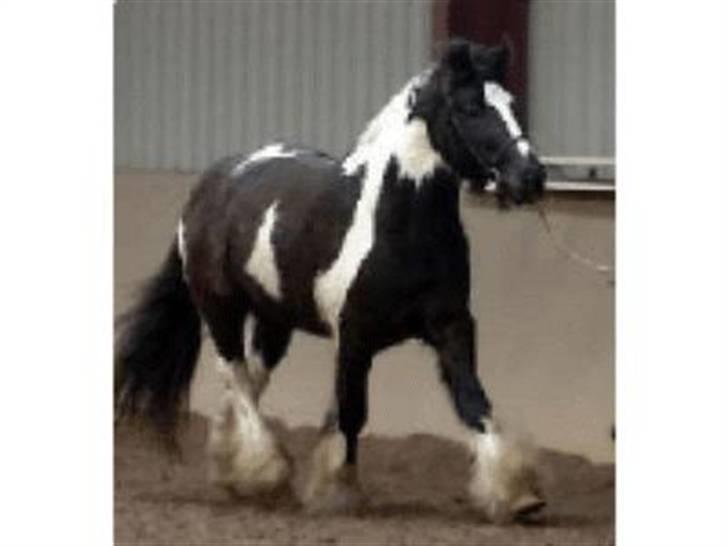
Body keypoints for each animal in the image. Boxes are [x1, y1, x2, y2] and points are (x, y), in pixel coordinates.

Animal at [114, 38, 544, 524]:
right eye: (471, 108)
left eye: (513, 104)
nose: (531, 177)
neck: (399, 228)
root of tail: (213, 182)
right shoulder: (354, 336)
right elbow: (352, 411)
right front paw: (339, 490)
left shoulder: (452, 326)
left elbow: (473, 402)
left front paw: (516, 496)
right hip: (219, 306)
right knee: (234, 374)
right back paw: (265, 471)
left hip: (274, 319)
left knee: (251, 378)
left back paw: (231, 465)